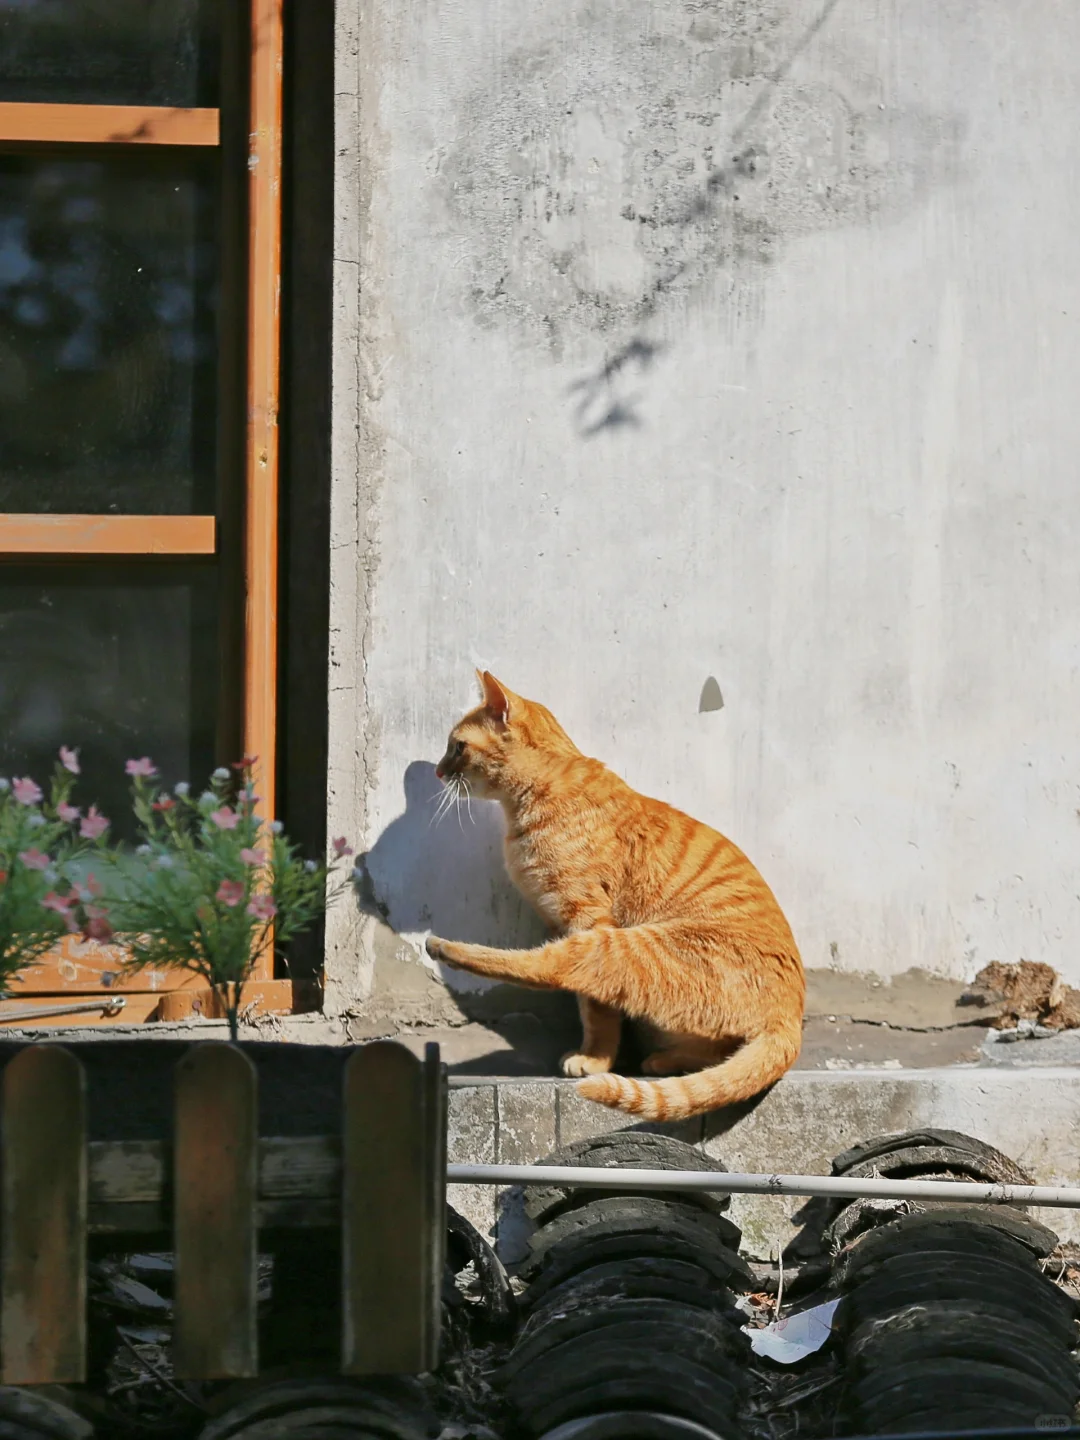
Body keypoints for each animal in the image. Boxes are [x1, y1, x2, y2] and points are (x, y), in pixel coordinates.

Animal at [426, 668, 806, 1117]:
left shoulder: (588, 917)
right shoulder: (564, 920)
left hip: (629, 945)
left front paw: (595, 1058)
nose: (437, 771)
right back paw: (667, 1061)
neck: (535, 796)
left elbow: (596, 1008)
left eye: (458, 747)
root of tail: (790, 1019)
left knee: (552, 968)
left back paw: (444, 947)